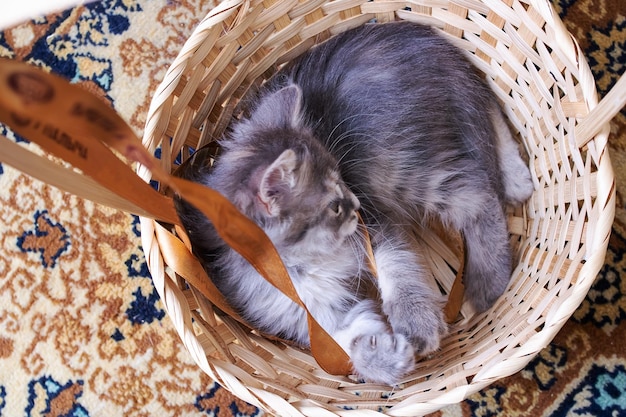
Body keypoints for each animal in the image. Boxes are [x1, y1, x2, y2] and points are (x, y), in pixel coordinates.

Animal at [176, 22, 532, 384]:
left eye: (342, 178)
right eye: (334, 205)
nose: (356, 202)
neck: (301, 260)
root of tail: (421, 36)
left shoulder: (375, 225)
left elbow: (398, 269)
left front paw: (415, 320)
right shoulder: (310, 314)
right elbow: (351, 342)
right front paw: (388, 359)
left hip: (401, 167)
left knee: (480, 185)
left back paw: (490, 278)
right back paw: (517, 182)